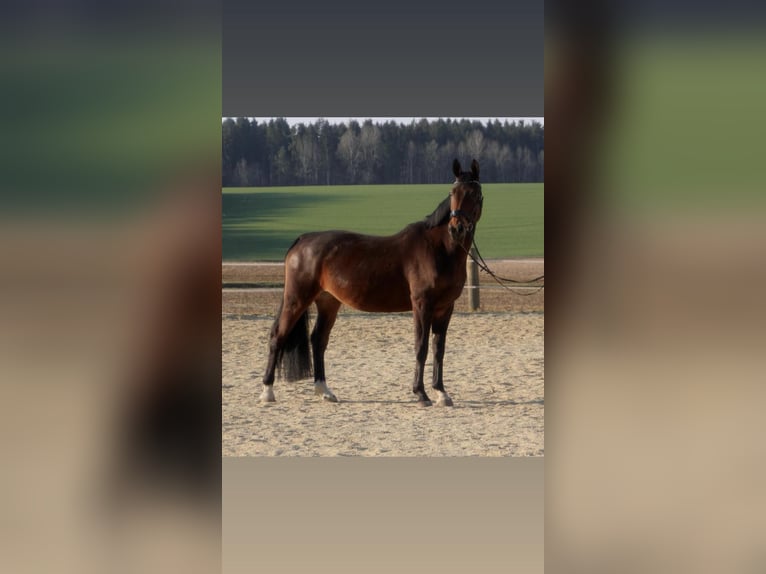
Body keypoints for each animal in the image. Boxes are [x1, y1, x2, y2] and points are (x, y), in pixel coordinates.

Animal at [260, 158, 484, 406]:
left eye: (476, 194)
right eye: (453, 192)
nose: (457, 228)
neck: (439, 249)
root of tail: (302, 240)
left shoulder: (445, 308)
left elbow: (438, 349)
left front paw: (441, 393)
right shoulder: (422, 305)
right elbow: (421, 347)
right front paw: (421, 393)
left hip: (328, 302)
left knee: (318, 340)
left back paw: (324, 390)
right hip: (297, 298)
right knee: (277, 336)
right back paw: (267, 391)